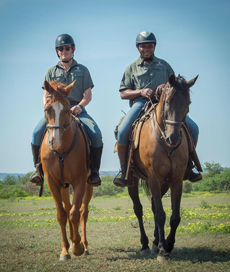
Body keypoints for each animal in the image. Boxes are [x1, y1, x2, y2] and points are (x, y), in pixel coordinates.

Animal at [40, 79, 93, 260]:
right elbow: (62, 214)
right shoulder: (52, 182)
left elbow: (75, 213)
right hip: (63, 186)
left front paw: (77, 247)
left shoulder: (80, 181)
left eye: (67, 109)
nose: (55, 142)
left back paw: (84, 244)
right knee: (67, 208)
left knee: (83, 212)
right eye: (47, 109)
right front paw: (65, 250)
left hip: (89, 185)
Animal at [127, 74, 198, 262]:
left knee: (153, 205)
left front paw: (169, 244)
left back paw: (155, 241)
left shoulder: (176, 180)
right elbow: (160, 214)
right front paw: (161, 250)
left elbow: (174, 216)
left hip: (164, 183)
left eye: (188, 102)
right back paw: (145, 244)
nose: (173, 137)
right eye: (167, 102)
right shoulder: (154, 178)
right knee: (139, 209)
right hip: (132, 181)